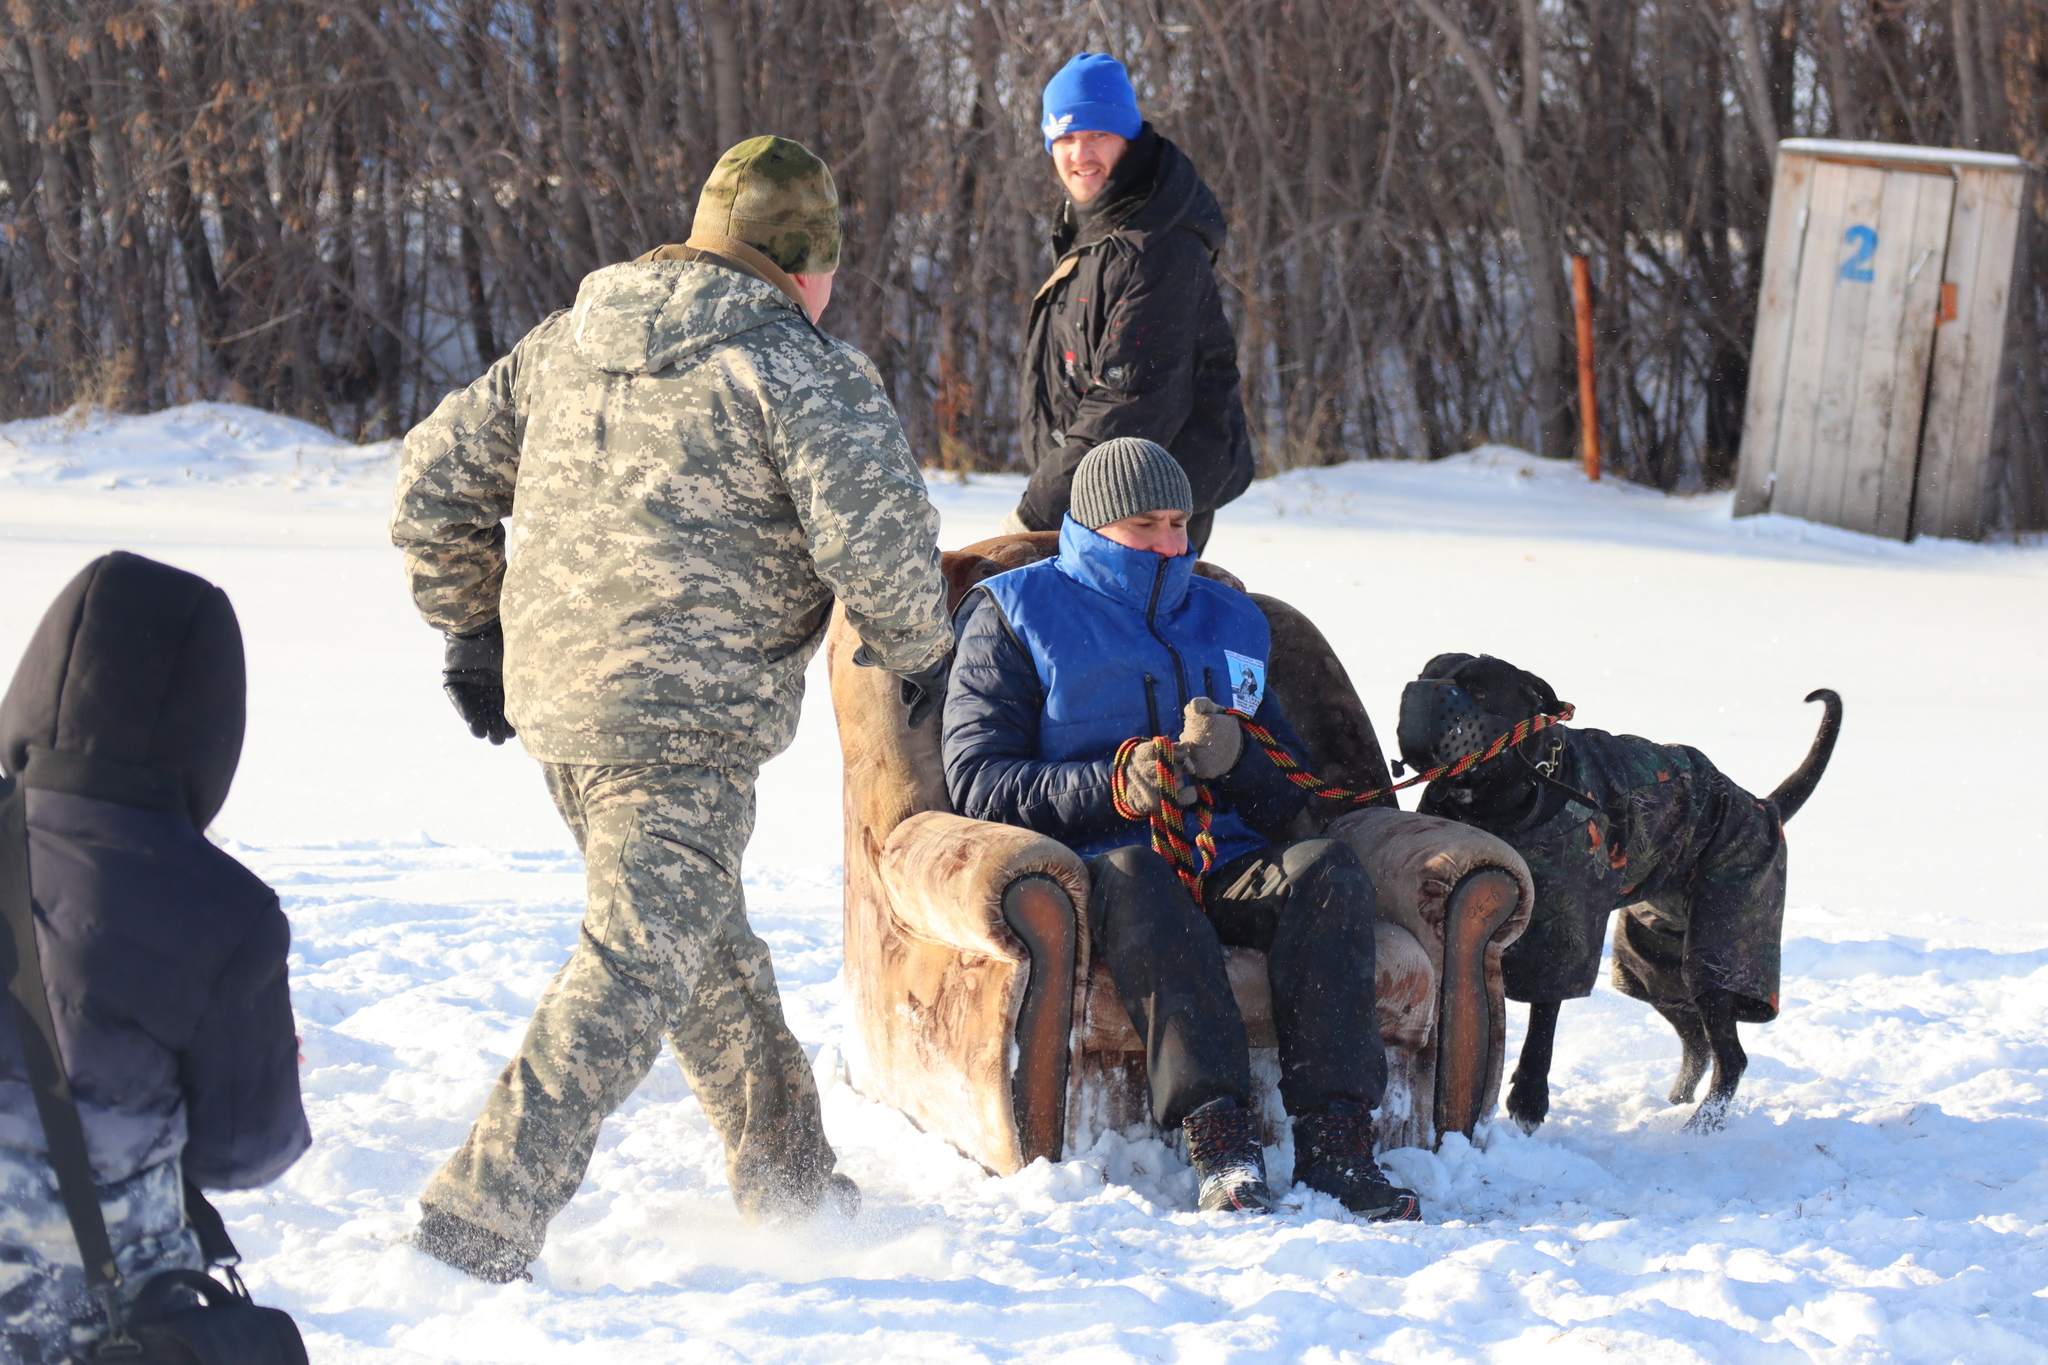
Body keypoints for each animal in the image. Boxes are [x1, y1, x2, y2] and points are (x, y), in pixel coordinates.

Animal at [1400, 654, 1851, 1137]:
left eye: (1479, 690)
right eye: (1425, 673)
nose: (1420, 691)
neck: (1503, 801)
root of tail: (1764, 806)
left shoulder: (1562, 936)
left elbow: (1543, 1023)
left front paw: (1529, 1100)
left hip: (1722, 948)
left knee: (1732, 1056)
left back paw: (1699, 1128)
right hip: (1655, 966)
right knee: (1698, 1042)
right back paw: (1676, 1103)